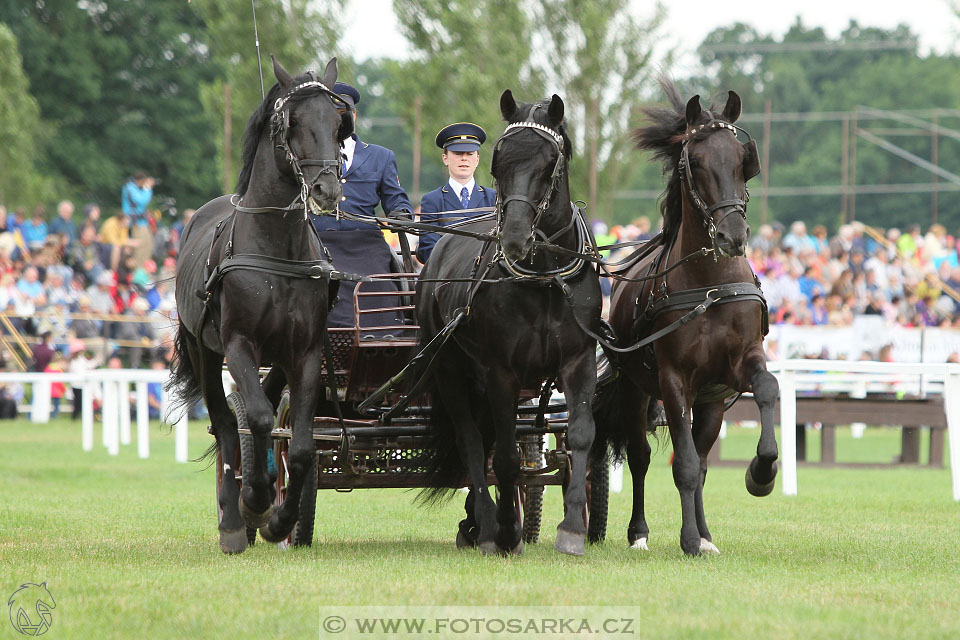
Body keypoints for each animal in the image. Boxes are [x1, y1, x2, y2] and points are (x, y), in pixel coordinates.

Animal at [171, 57, 354, 552]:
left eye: (338, 124)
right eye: (292, 123)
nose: (327, 189)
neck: (277, 250)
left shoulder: (305, 352)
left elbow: (303, 445)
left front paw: (279, 518)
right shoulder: (239, 345)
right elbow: (252, 416)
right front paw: (254, 501)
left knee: (271, 415)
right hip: (202, 348)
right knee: (228, 422)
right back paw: (234, 517)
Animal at [418, 90, 600, 556]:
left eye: (550, 161)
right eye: (499, 161)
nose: (516, 238)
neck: (545, 278)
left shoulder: (579, 361)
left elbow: (580, 436)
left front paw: (573, 529)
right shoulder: (500, 371)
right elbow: (504, 456)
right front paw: (505, 532)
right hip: (452, 372)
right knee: (472, 442)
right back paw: (486, 525)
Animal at [592, 80, 780, 556]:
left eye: (742, 160)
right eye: (695, 163)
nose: (733, 236)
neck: (709, 286)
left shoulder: (737, 367)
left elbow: (766, 389)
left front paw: (761, 472)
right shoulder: (674, 380)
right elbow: (685, 466)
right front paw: (688, 539)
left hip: (710, 400)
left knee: (703, 456)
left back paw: (708, 532)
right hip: (637, 390)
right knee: (642, 457)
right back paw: (639, 533)